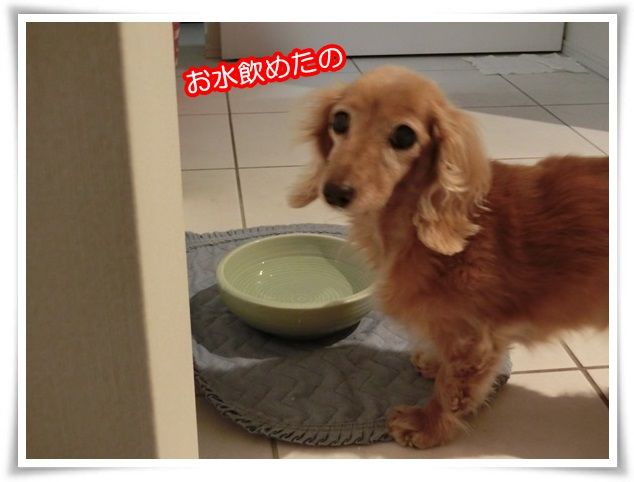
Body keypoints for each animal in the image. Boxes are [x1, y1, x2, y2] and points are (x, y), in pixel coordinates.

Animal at [288, 66, 609, 449]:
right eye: (339, 120)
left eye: (404, 135)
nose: (335, 192)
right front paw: (433, 363)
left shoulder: (474, 339)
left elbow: (450, 388)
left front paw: (426, 424)